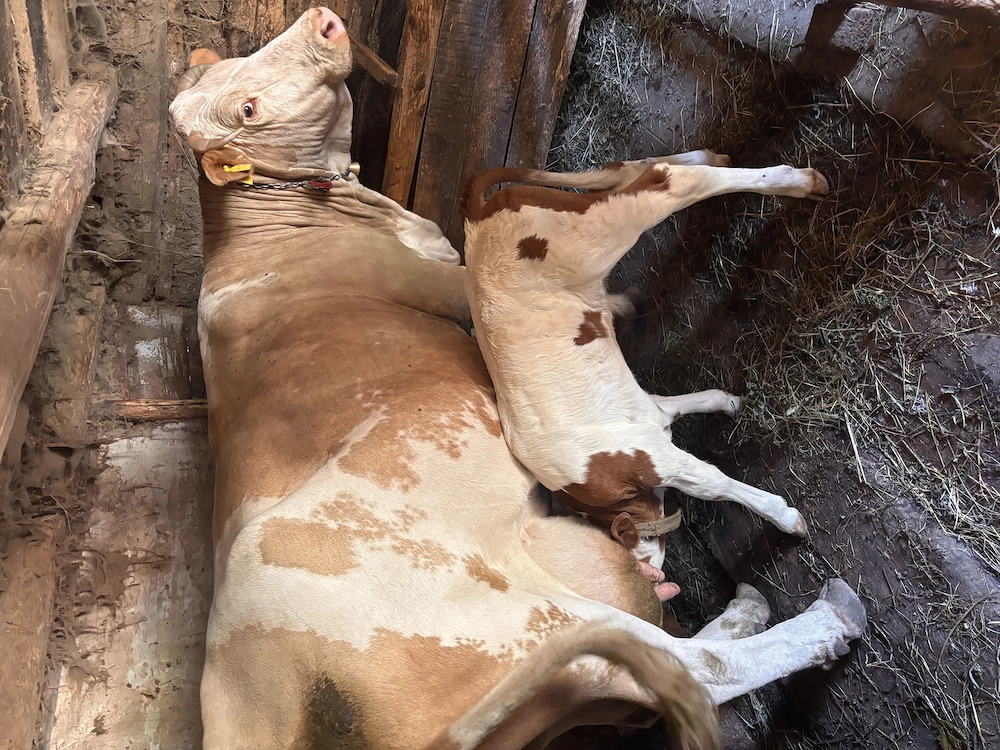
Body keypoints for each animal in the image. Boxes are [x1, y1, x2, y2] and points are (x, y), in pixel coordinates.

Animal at [460, 159, 823, 571]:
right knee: (631, 169)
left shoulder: (651, 458)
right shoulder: (649, 414)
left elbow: (712, 483)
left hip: (601, 231)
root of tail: (476, 217)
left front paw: (786, 518)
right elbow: (686, 404)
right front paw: (730, 402)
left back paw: (802, 182)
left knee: (666, 178)